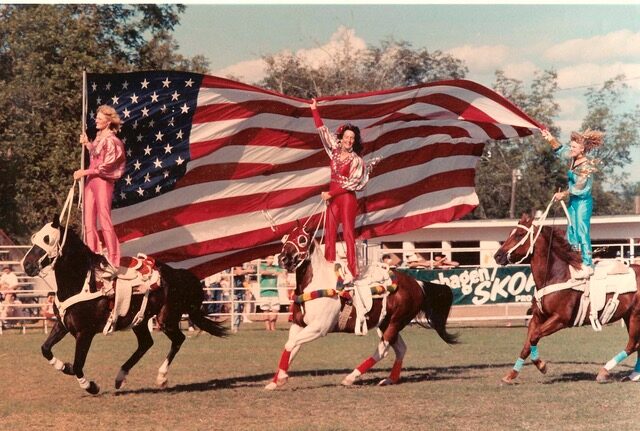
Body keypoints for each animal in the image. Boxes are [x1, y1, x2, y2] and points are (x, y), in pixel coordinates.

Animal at [21, 218, 228, 396]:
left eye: (47, 239)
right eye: (35, 237)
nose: (26, 265)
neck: (81, 284)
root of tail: (177, 274)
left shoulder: (85, 333)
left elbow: (79, 364)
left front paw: (91, 386)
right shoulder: (62, 325)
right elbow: (46, 349)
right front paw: (64, 366)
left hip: (166, 320)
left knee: (178, 339)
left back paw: (161, 377)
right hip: (140, 320)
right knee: (146, 343)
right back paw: (120, 377)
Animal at [496, 213, 640, 384]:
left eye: (519, 234)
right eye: (510, 232)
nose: (497, 255)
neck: (555, 275)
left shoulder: (560, 319)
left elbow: (535, 336)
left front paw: (541, 365)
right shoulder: (537, 317)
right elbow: (527, 344)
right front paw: (510, 375)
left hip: (635, 316)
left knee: (632, 345)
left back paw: (604, 372)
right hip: (628, 316)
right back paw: (633, 374)